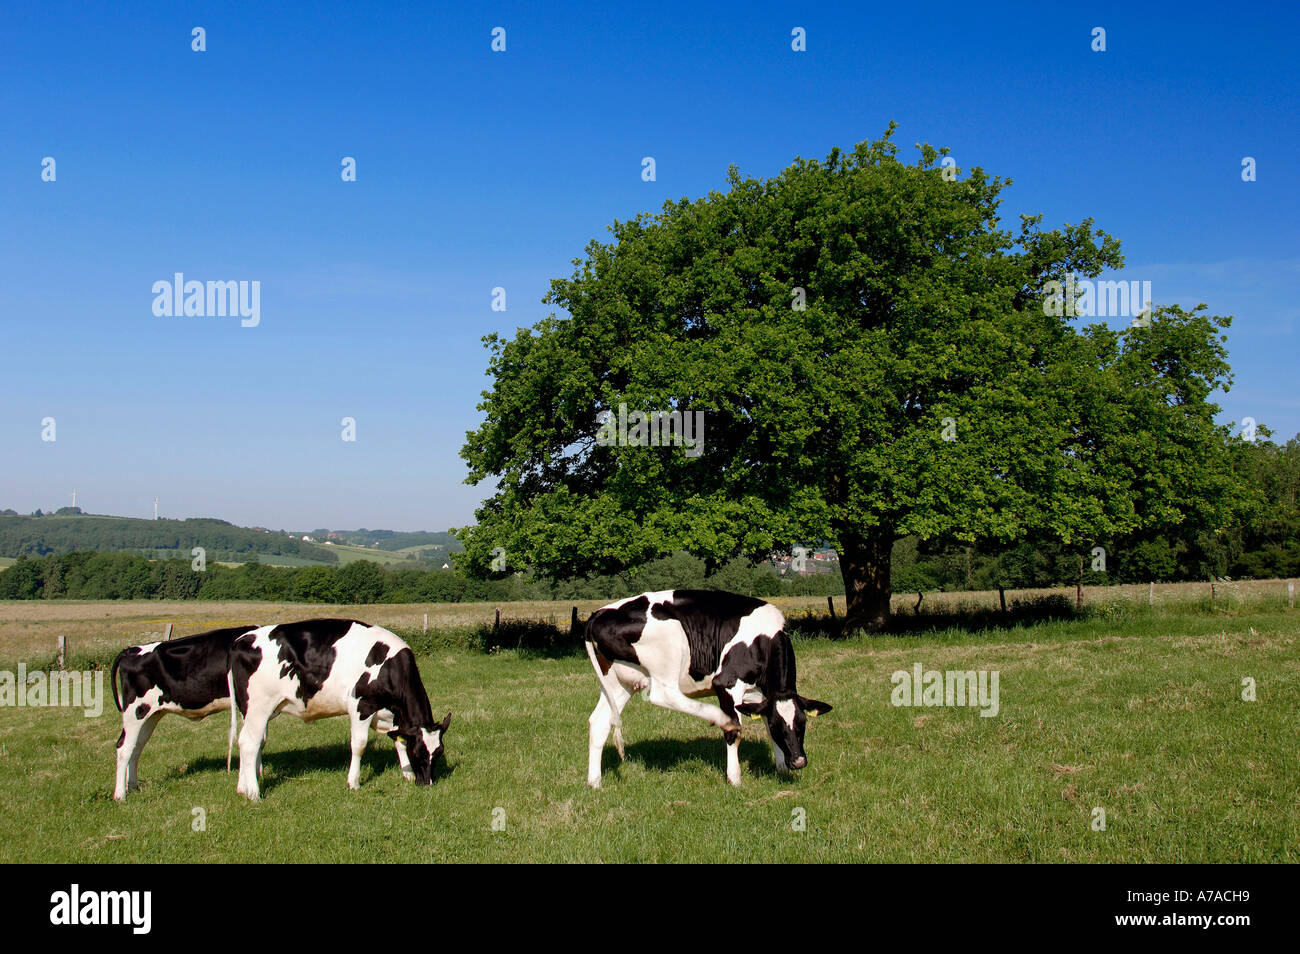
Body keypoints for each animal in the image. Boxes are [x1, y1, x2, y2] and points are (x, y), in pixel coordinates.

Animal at [110, 624, 257, 801]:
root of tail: (131, 650)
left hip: (150, 715)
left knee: (136, 747)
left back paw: (133, 787)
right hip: (135, 712)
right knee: (124, 748)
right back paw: (120, 795)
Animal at [228, 618, 450, 801]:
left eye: (439, 752)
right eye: (419, 752)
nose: (427, 783)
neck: (389, 667)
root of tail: (240, 640)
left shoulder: (394, 716)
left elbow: (400, 741)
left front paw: (407, 774)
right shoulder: (362, 706)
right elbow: (359, 745)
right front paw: (354, 782)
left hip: (248, 711)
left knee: (246, 741)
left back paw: (242, 788)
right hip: (259, 707)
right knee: (250, 744)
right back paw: (254, 793)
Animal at [583, 589, 831, 787]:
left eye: (803, 722)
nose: (798, 761)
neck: (763, 640)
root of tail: (599, 613)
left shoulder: (762, 699)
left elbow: (767, 727)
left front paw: (781, 768)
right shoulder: (727, 684)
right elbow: (734, 734)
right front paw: (734, 778)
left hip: (619, 683)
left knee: (599, 721)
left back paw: (595, 783)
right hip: (671, 643)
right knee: (664, 695)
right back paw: (719, 717)